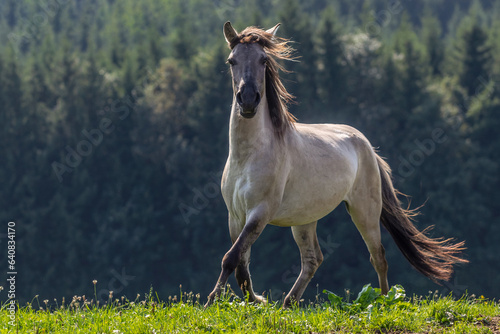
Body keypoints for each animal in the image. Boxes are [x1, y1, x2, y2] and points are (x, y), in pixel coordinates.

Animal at [205, 21, 466, 308]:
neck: (248, 156)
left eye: (263, 60)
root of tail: (365, 144)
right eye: (232, 61)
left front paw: (211, 301)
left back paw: (383, 302)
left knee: (378, 256)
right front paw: (256, 301)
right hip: (305, 218)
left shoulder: (260, 212)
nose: (249, 100)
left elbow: (231, 258)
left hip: (364, 211)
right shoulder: (235, 216)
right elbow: (241, 263)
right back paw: (288, 304)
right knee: (312, 259)